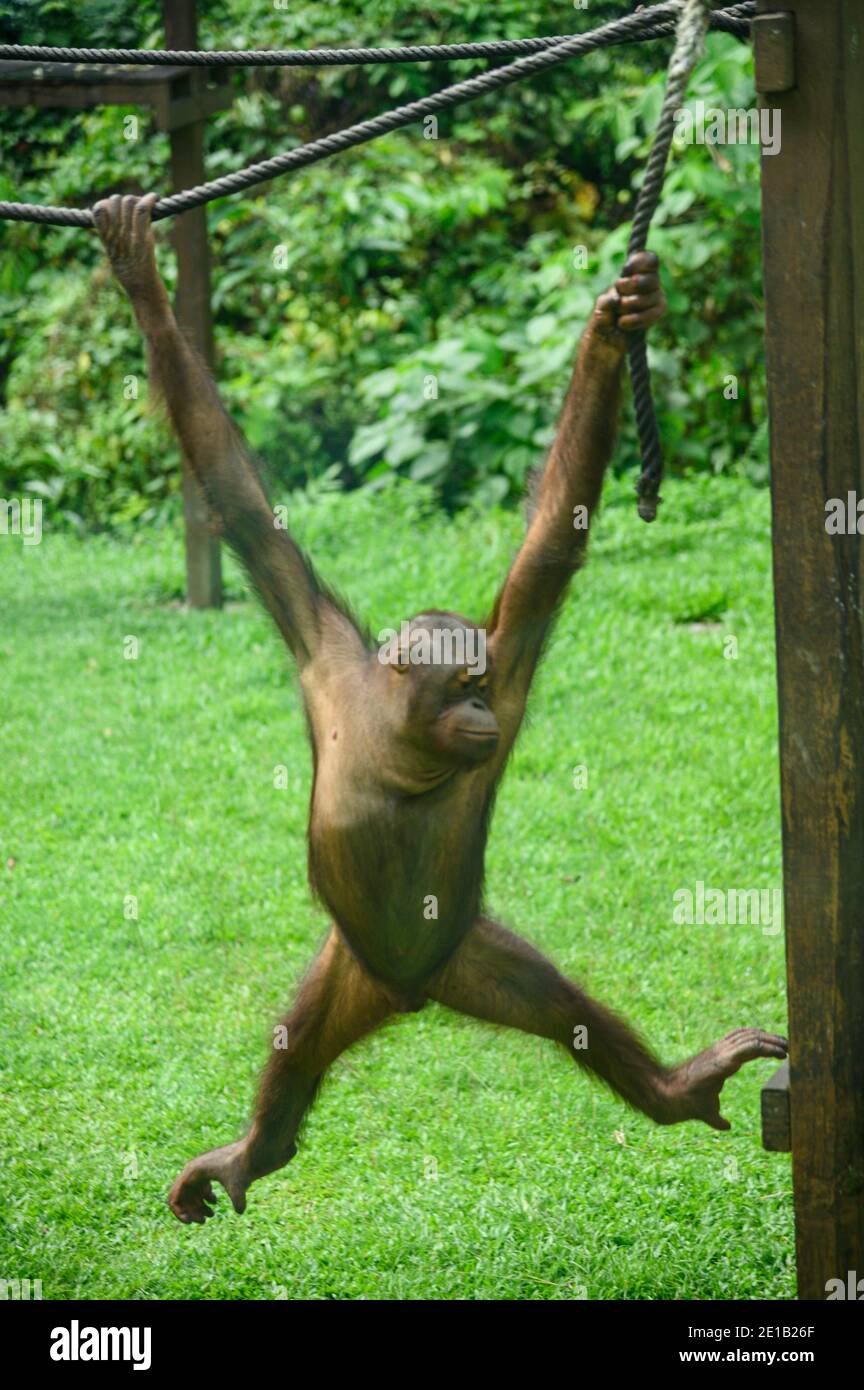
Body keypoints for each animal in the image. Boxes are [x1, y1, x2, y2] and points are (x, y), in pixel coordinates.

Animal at [94, 193, 788, 1225]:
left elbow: (550, 549)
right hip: (349, 963)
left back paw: (672, 1088)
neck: (401, 735)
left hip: (467, 955)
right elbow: (240, 499)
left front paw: (616, 321)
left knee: (561, 1009)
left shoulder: (513, 656)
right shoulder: (326, 658)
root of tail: (408, 994)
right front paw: (140, 280)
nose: (480, 716)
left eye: (479, 687)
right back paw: (256, 1149)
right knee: (296, 1044)